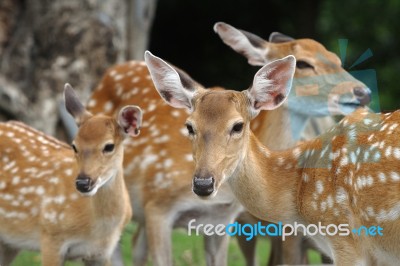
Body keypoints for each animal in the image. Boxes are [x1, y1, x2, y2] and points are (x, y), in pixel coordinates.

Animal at [0, 84, 141, 264]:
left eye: (109, 146)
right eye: (74, 145)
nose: (83, 183)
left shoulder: (102, 252)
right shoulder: (50, 236)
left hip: (9, 242)